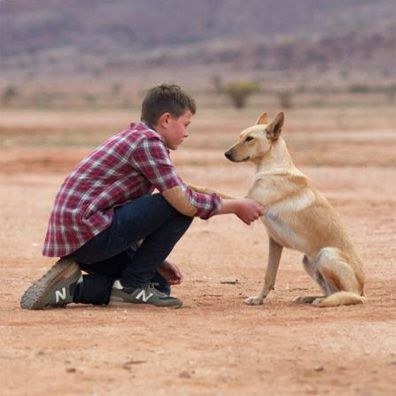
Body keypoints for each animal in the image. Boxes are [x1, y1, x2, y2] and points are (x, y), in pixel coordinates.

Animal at [224, 113, 366, 308]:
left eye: (249, 139)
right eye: (239, 137)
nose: (226, 154)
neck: (273, 168)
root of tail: (362, 290)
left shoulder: (247, 201)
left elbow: (207, 190)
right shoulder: (274, 241)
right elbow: (269, 276)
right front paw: (259, 299)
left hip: (326, 254)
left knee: (350, 296)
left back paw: (323, 300)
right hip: (308, 261)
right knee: (332, 292)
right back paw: (310, 297)